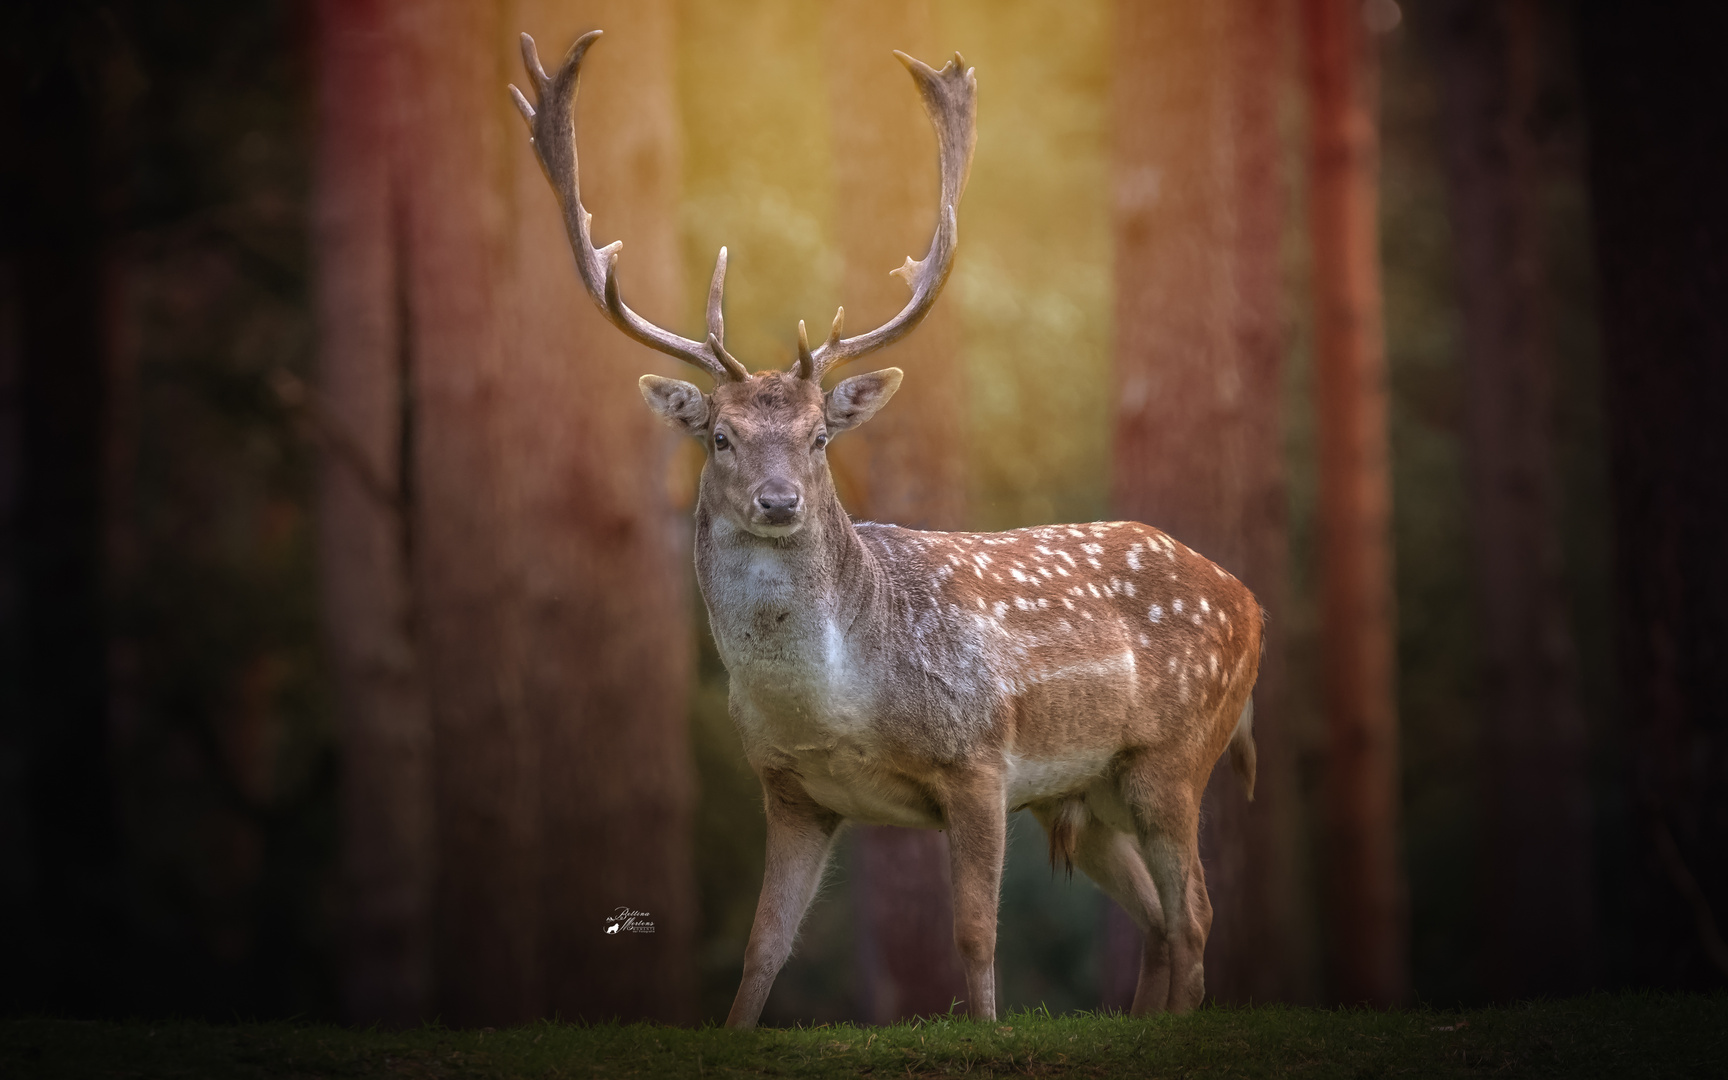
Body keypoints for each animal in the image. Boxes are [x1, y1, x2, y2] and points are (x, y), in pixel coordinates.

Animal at [504, 27, 1264, 1029]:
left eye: (820, 435)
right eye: (720, 434)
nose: (778, 501)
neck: (838, 703)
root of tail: (1251, 603)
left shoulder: (978, 757)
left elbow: (974, 937)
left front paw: (983, 1030)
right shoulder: (789, 791)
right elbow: (762, 949)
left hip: (1172, 757)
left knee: (1198, 913)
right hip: (1087, 794)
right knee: (1160, 921)